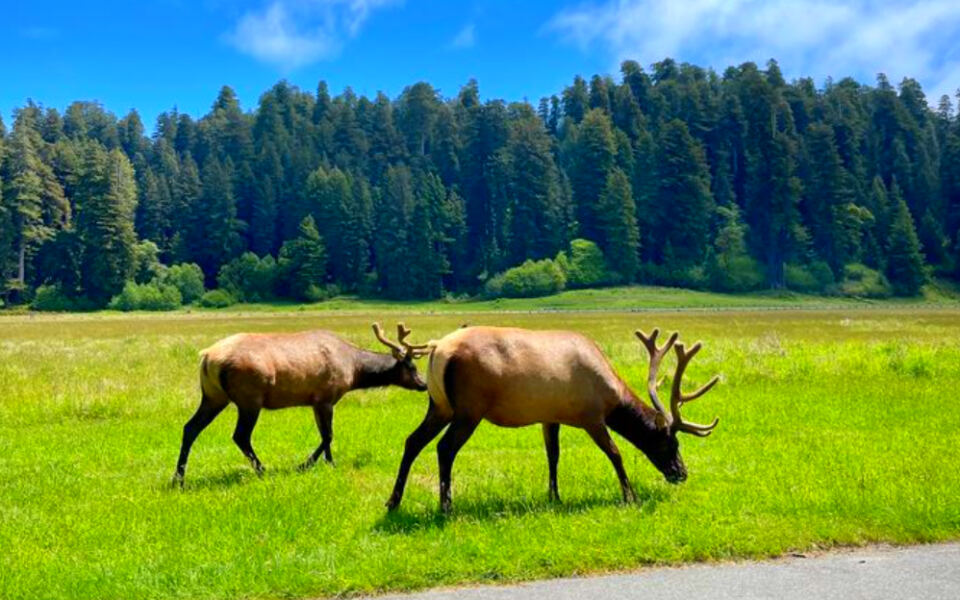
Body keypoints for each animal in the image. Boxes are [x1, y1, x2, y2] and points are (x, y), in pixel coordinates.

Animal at [172, 323, 432, 486]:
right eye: (411, 367)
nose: (423, 384)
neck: (354, 370)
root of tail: (207, 358)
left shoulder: (314, 401)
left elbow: (324, 435)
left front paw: (327, 463)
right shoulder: (326, 397)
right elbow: (329, 435)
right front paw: (307, 464)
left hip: (213, 396)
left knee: (190, 427)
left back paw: (179, 478)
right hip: (249, 398)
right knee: (240, 435)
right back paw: (263, 470)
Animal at [385, 326, 720, 512]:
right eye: (670, 443)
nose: (681, 473)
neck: (610, 392)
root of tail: (437, 350)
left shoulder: (550, 416)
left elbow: (553, 455)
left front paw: (554, 497)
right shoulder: (591, 416)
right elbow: (615, 453)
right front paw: (630, 496)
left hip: (439, 405)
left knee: (412, 441)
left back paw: (393, 502)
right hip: (469, 408)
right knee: (445, 448)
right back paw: (446, 506)